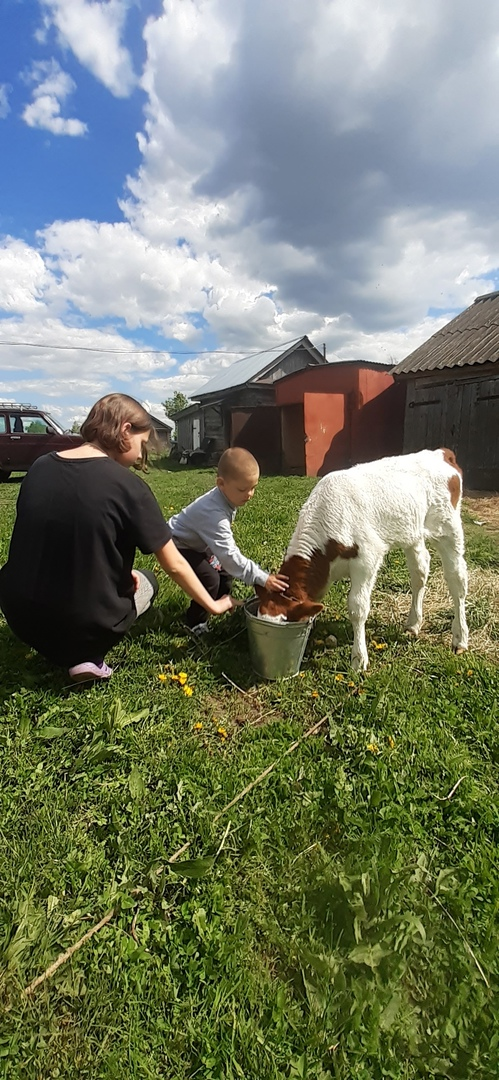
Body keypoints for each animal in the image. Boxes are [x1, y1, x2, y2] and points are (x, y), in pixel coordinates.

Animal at [254, 444, 468, 665]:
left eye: (284, 621)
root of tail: (440, 453)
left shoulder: (366, 559)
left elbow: (357, 608)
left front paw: (359, 658)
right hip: (412, 532)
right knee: (420, 570)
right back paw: (413, 624)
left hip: (448, 528)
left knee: (457, 579)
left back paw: (460, 638)